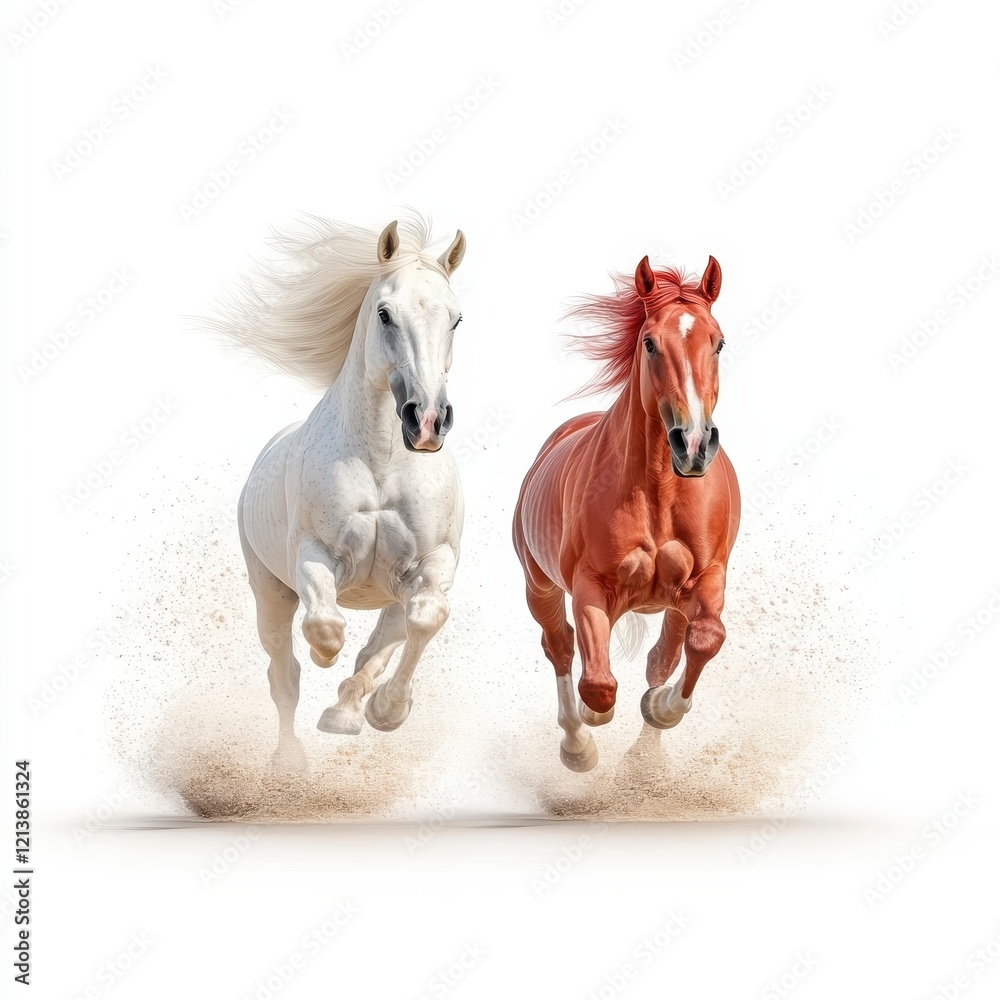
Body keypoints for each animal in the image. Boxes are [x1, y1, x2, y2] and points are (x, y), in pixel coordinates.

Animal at [212, 215, 467, 773]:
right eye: (385, 313)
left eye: (457, 319)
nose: (427, 421)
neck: (382, 466)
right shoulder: (315, 556)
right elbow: (326, 626)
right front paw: (326, 659)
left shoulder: (432, 563)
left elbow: (424, 619)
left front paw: (385, 711)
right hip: (270, 592)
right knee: (284, 675)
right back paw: (291, 759)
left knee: (384, 640)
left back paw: (350, 711)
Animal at [512, 254, 740, 772]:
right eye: (650, 343)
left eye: (718, 342)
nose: (694, 445)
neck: (658, 490)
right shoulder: (591, 587)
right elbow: (598, 685)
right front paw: (591, 724)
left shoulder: (708, 578)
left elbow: (704, 640)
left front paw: (661, 708)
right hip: (540, 586)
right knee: (561, 646)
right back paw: (577, 745)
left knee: (663, 655)